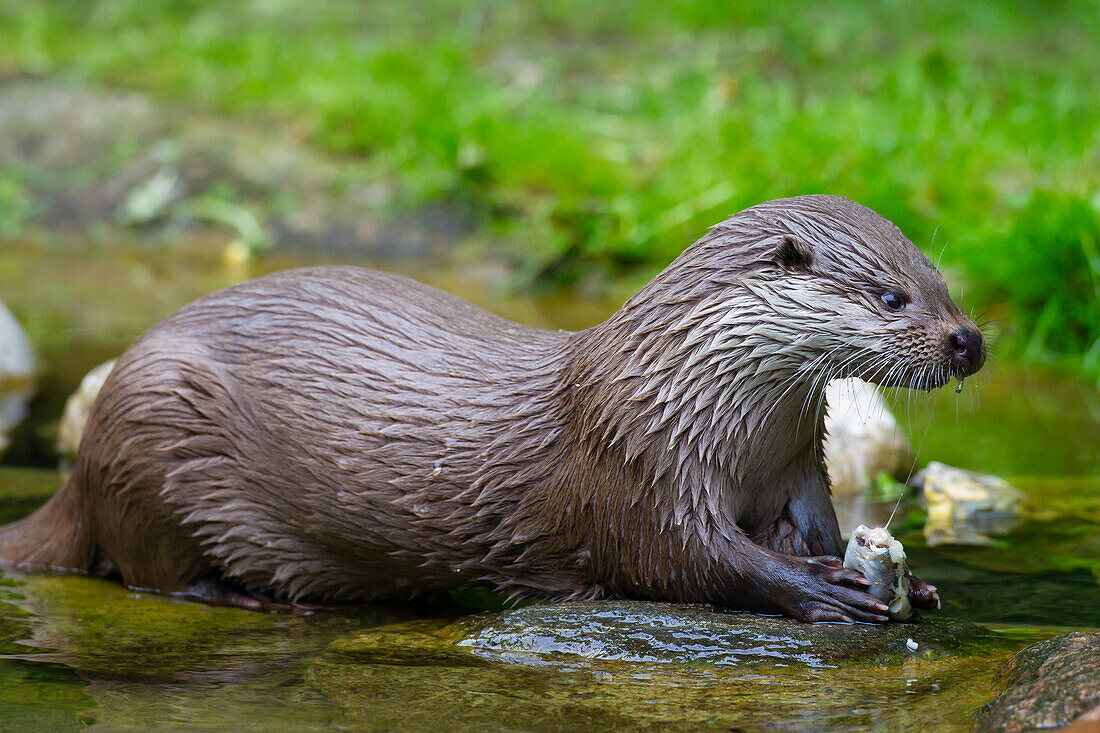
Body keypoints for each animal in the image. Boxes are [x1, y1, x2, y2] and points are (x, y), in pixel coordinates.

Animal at [0, 195, 981, 620]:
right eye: (893, 297)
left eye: (945, 282)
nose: (970, 341)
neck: (690, 395)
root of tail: (81, 462)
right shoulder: (637, 464)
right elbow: (682, 559)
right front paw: (820, 588)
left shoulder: (794, 465)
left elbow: (811, 526)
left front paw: (920, 583)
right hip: (152, 423)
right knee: (151, 567)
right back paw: (256, 599)